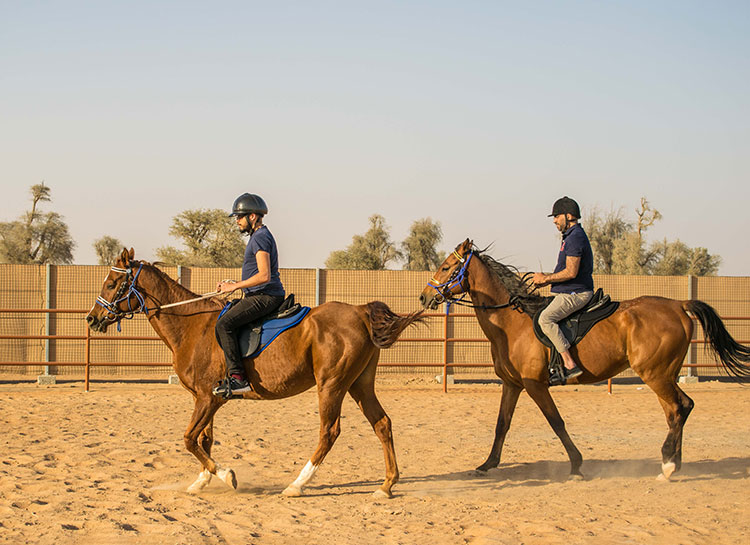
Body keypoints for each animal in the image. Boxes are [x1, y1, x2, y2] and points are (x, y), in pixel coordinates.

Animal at [87, 249, 424, 496]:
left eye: (112, 284)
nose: (92, 318)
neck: (193, 326)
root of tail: (359, 312)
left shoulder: (208, 399)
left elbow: (189, 439)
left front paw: (226, 475)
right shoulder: (205, 398)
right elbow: (204, 439)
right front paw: (202, 480)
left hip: (332, 385)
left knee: (329, 432)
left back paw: (297, 485)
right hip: (359, 384)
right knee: (382, 424)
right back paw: (386, 485)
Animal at [420, 238, 748, 480]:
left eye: (446, 266)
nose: (424, 297)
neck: (512, 323)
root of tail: (679, 305)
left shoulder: (535, 385)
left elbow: (556, 422)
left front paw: (577, 465)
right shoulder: (513, 384)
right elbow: (502, 424)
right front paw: (487, 464)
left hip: (655, 374)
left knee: (681, 407)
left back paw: (668, 465)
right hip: (663, 374)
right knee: (676, 411)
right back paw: (671, 463)